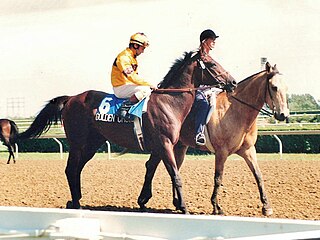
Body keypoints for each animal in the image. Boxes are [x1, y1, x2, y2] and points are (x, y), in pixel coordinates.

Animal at [18, 50, 238, 212]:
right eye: (212, 64)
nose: (233, 82)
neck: (169, 102)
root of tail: (71, 98)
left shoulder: (159, 146)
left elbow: (151, 169)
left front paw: (144, 200)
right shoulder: (165, 144)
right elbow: (175, 174)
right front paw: (183, 206)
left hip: (91, 144)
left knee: (77, 169)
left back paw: (75, 200)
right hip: (78, 143)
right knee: (71, 169)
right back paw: (77, 203)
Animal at [138, 62, 290, 216]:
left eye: (286, 87)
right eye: (274, 87)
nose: (283, 115)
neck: (236, 110)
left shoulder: (248, 150)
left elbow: (258, 175)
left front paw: (266, 206)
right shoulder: (221, 152)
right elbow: (218, 178)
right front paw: (216, 207)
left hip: (177, 146)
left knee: (163, 167)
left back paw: (165, 201)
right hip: (164, 144)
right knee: (156, 166)